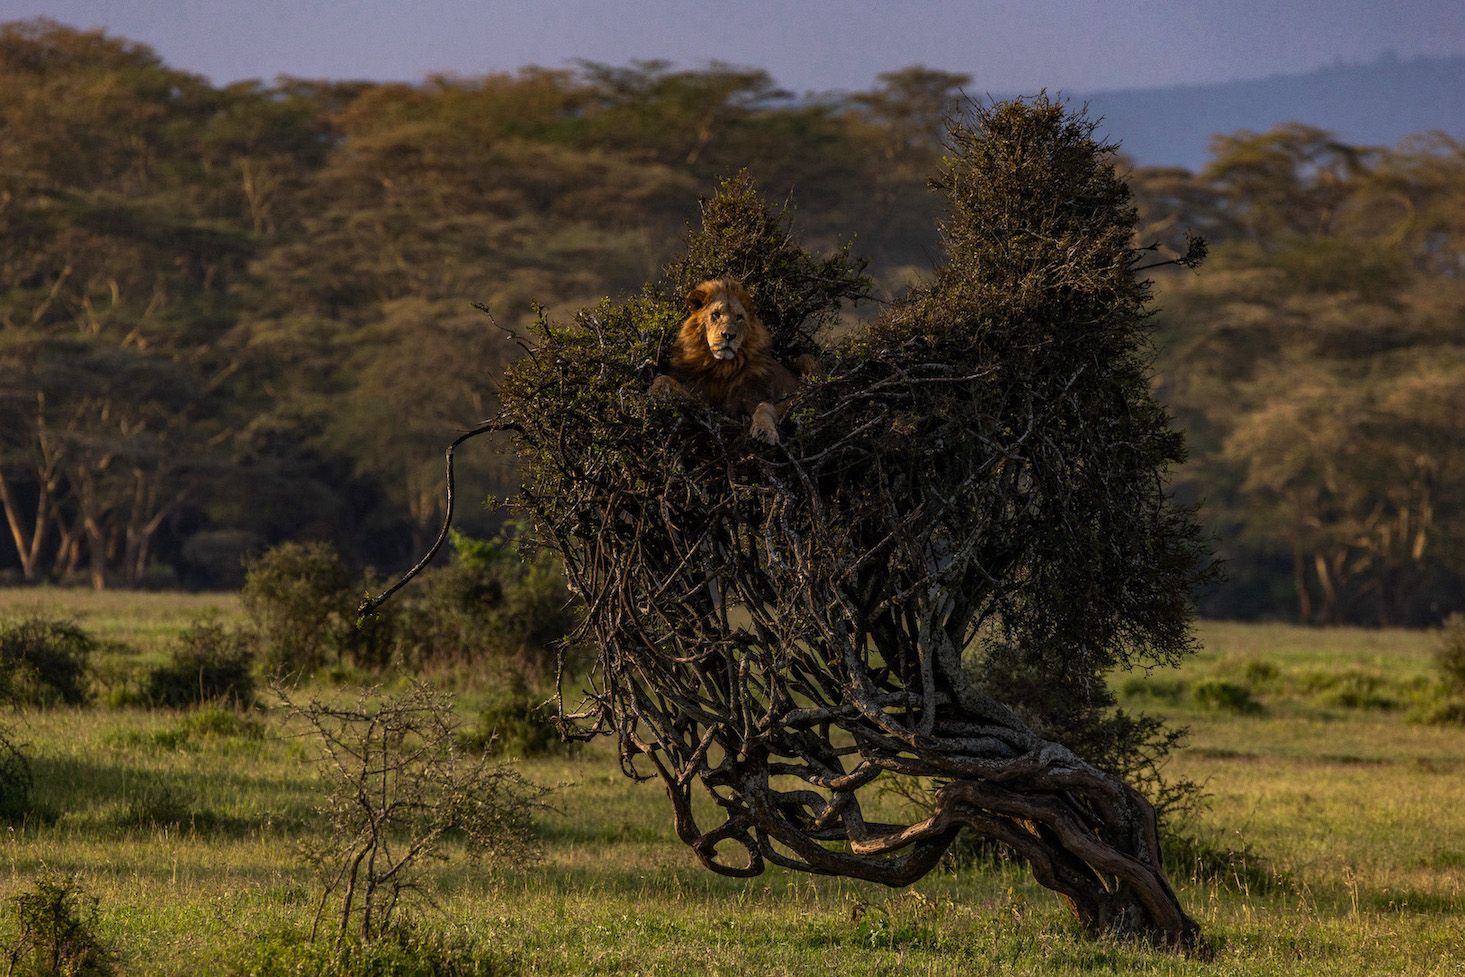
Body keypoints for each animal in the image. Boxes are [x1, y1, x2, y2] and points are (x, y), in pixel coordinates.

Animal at [650, 278, 820, 448]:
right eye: (715, 314)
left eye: (739, 317)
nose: (729, 335)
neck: (720, 367)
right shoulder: (701, 397)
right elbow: (663, 379)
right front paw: (652, 392)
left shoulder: (757, 395)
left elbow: (764, 408)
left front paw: (765, 431)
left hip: (805, 358)